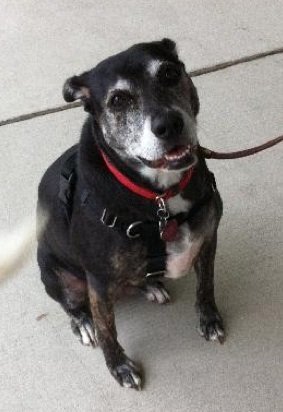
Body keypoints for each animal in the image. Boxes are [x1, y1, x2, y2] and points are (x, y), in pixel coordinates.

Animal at [36, 39, 225, 390]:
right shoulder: (97, 281)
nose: (169, 124)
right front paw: (120, 366)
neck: (160, 197)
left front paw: (209, 319)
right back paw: (83, 322)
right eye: (118, 100)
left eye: (169, 73)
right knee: (73, 305)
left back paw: (150, 286)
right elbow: (107, 330)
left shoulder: (208, 240)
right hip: (56, 274)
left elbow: (206, 285)